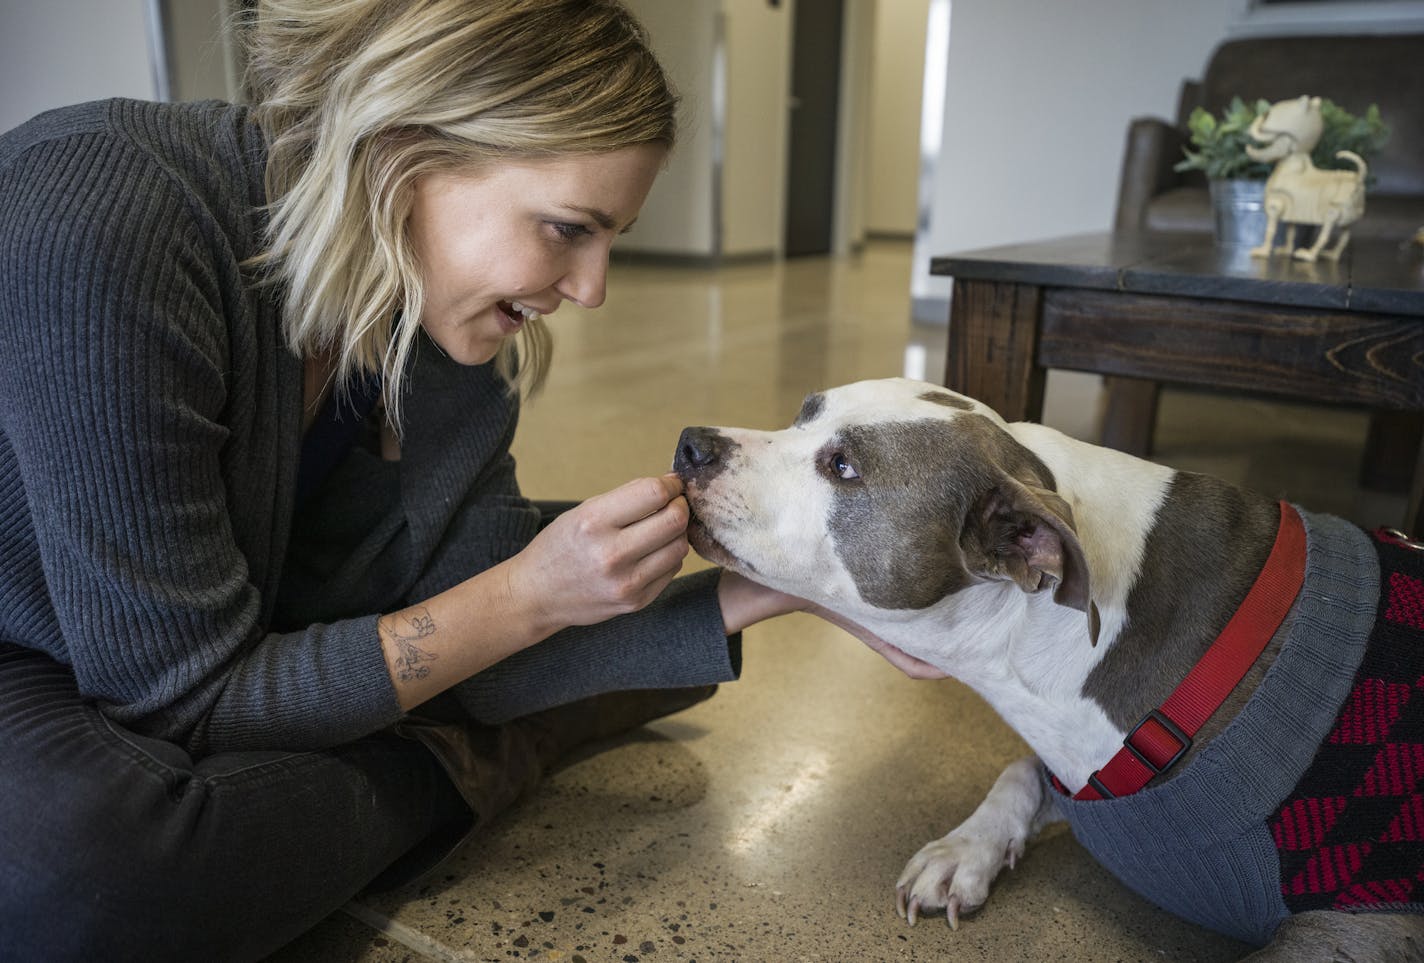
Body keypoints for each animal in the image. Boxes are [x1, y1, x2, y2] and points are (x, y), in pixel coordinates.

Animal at [669, 378, 1424, 957]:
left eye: (844, 466)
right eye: (805, 412)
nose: (691, 443)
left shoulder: (1367, 924)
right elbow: (1020, 768)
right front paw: (965, 850)